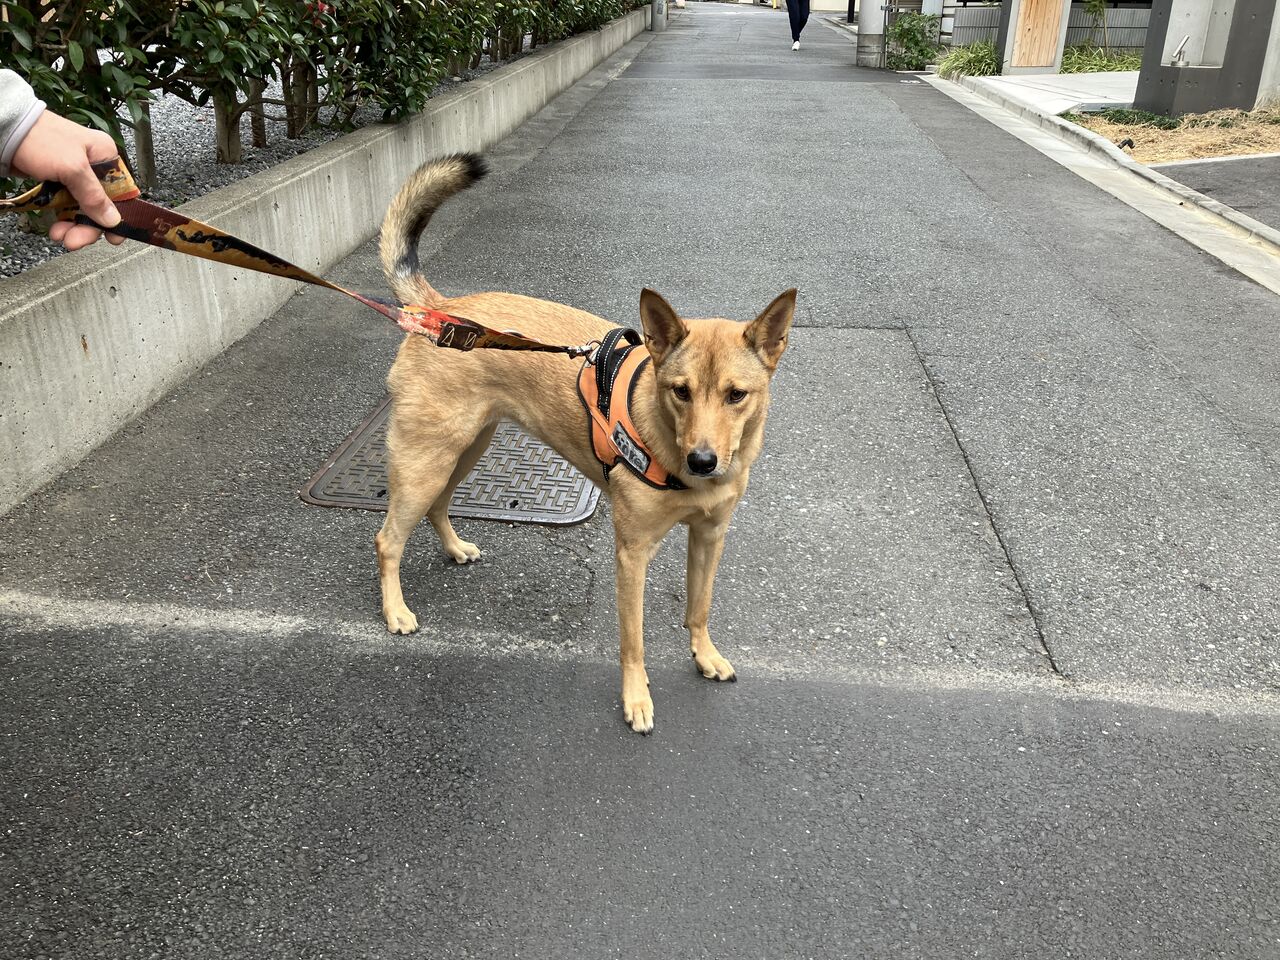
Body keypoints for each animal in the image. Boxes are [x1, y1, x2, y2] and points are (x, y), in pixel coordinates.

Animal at [374, 154, 795, 734]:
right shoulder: (633, 554)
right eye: (680, 391)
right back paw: (395, 611)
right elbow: (633, 641)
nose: (704, 461)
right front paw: (636, 699)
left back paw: (455, 548)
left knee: (438, 506)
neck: (670, 447)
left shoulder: (710, 537)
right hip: (425, 462)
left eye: (737, 395)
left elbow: (699, 608)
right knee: (387, 539)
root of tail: (444, 309)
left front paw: (704, 654)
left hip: (464, 450)